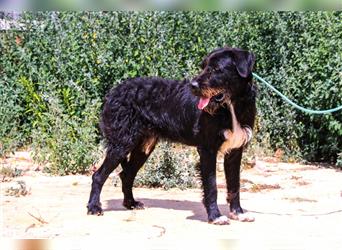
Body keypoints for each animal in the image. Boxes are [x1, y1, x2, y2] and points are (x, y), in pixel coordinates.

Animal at [87, 47, 256, 225]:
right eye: (203, 67)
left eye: (217, 69)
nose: (193, 86)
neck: (231, 106)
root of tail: (113, 92)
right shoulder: (207, 149)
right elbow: (212, 186)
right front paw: (215, 216)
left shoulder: (235, 151)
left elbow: (235, 185)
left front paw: (238, 213)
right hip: (122, 144)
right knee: (98, 176)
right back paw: (94, 207)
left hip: (143, 148)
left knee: (126, 175)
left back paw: (131, 203)